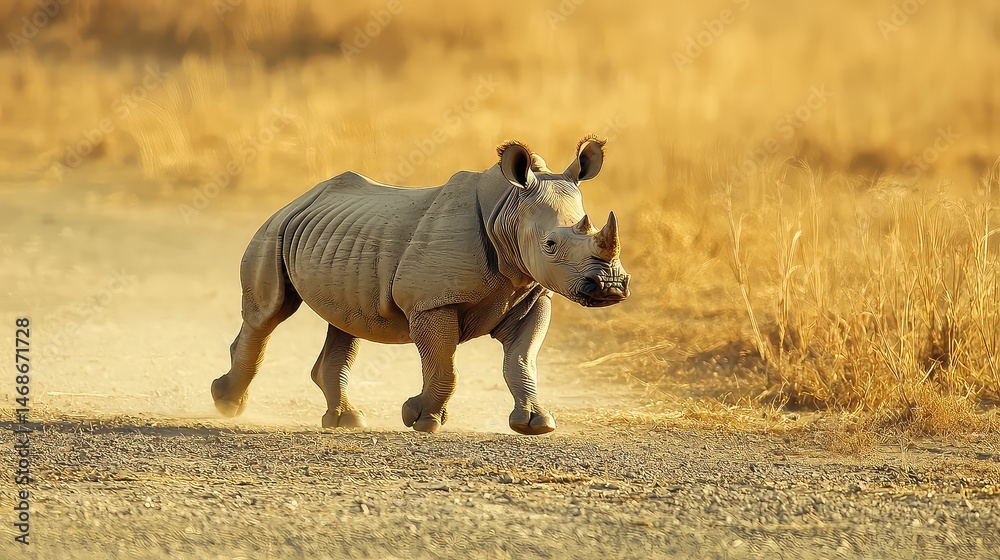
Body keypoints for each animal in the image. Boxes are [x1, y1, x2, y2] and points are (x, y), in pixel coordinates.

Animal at [211, 135, 630, 435]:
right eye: (550, 244)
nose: (609, 287)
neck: (507, 212)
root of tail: (299, 198)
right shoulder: (433, 302)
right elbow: (444, 365)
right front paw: (421, 418)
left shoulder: (531, 294)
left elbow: (521, 360)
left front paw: (535, 424)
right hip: (274, 230)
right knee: (269, 312)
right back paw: (226, 403)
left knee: (346, 323)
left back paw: (347, 421)